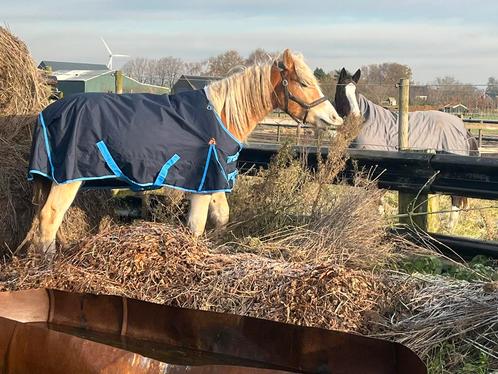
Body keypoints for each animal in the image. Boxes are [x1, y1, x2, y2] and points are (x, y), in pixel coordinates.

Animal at [23, 49, 342, 258]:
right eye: (304, 83)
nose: (335, 119)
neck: (220, 117)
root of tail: (49, 112)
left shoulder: (214, 181)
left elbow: (221, 217)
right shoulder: (201, 183)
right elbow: (196, 226)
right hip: (67, 179)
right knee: (49, 217)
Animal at [334, 68, 478, 231]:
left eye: (356, 92)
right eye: (342, 91)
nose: (356, 119)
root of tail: (464, 130)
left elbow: (376, 196)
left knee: (456, 198)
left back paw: (449, 226)